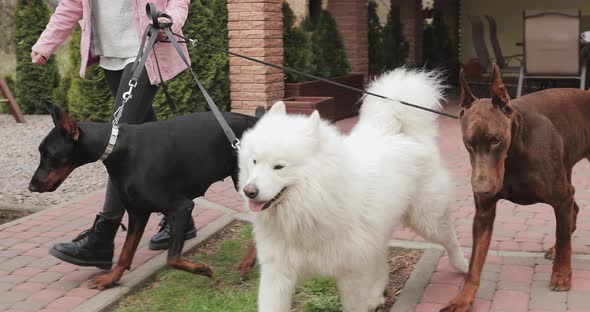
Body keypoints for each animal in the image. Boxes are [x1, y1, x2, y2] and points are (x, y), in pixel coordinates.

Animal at [238, 69, 470, 312]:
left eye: (279, 167)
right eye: (254, 161)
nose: (249, 191)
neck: (310, 207)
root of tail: (403, 132)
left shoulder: (352, 273)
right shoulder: (278, 274)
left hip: (428, 219)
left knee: (450, 239)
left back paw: (462, 266)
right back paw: (376, 296)